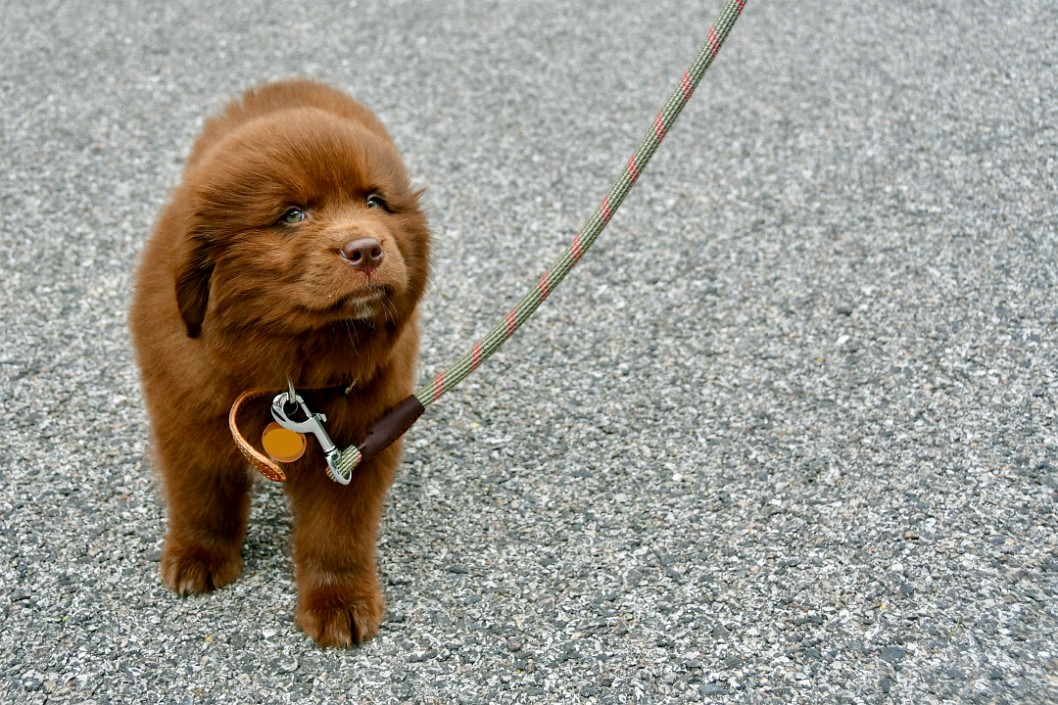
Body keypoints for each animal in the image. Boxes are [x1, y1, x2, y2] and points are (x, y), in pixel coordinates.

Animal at [130, 79, 427, 643]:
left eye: (375, 200)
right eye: (292, 215)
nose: (367, 249)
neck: (291, 365)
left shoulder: (359, 442)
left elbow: (337, 532)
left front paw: (340, 604)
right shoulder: (184, 414)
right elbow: (200, 495)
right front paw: (198, 557)